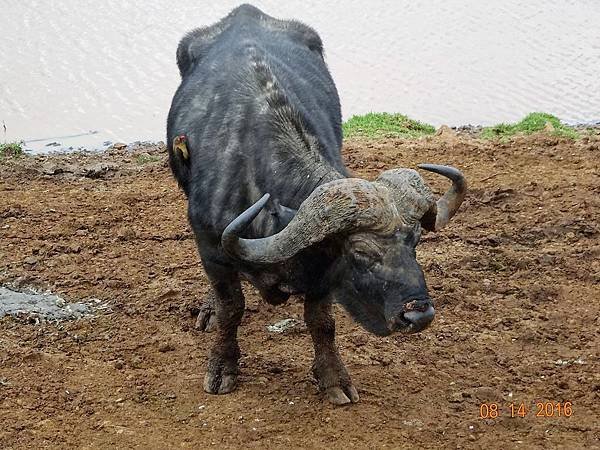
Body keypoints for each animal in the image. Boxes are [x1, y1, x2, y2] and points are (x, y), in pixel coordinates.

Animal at [166, 3, 466, 404]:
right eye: (360, 253)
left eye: (415, 242)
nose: (418, 315)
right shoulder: (211, 249)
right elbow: (232, 310)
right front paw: (222, 367)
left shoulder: (324, 271)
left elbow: (322, 322)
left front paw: (333, 378)